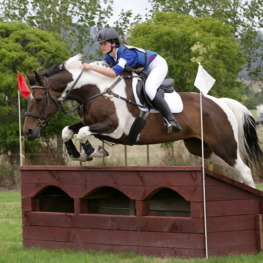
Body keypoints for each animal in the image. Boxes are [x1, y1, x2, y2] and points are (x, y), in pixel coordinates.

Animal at [23, 54, 263, 189]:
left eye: (38, 99)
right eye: (27, 99)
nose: (28, 132)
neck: (95, 90)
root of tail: (221, 103)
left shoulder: (116, 129)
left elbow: (82, 133)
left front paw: (93, 151)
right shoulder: (93, 123)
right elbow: (68, 130)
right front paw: (80, 154)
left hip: (224, 145)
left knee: (245, 171)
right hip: (204, 148)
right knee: (237, 170)